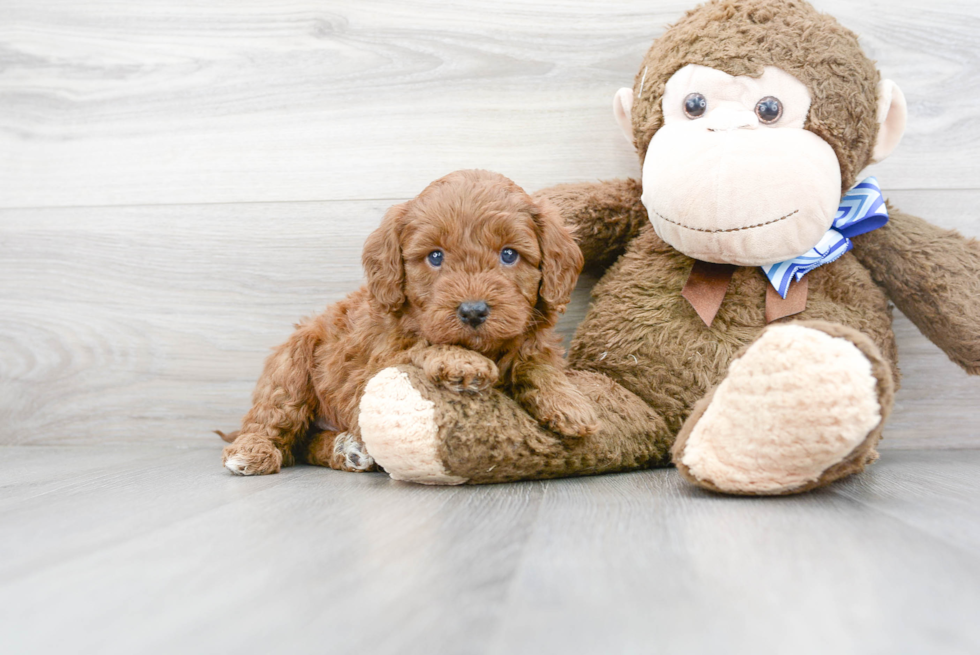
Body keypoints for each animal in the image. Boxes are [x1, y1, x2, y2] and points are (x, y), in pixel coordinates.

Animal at [220, 170, 596, 476]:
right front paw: (461, 361)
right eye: (435, 256)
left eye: (508, 254)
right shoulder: (375, 367)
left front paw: (570, 403)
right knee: (273, 423)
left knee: (306, 445)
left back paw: (347, 450)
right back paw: (252, 452)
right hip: (291, 368)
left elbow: (536, 364)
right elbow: (422, 344)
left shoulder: (534, 342)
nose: (473, 311)